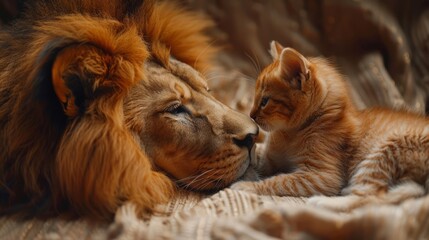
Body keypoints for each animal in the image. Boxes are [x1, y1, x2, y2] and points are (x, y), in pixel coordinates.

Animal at [232, 41, 426, 210]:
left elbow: (282, 180)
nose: (251, 116)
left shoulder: (322, 176)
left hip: (384, 150)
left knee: (372, 197)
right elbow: (254, 153)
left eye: (265, 101)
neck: (292, 132)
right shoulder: (269, 159)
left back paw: (323, 201)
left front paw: (248, 186)